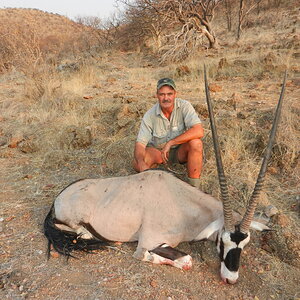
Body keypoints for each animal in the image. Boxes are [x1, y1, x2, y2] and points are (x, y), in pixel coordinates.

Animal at [42, 69, 286, 284]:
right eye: (222, 241)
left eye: (244, 244)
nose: (230, 279)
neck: (182, 205)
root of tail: (59, 198)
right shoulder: (147, 242)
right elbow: (183, 260)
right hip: (73, 221)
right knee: (79, 232)